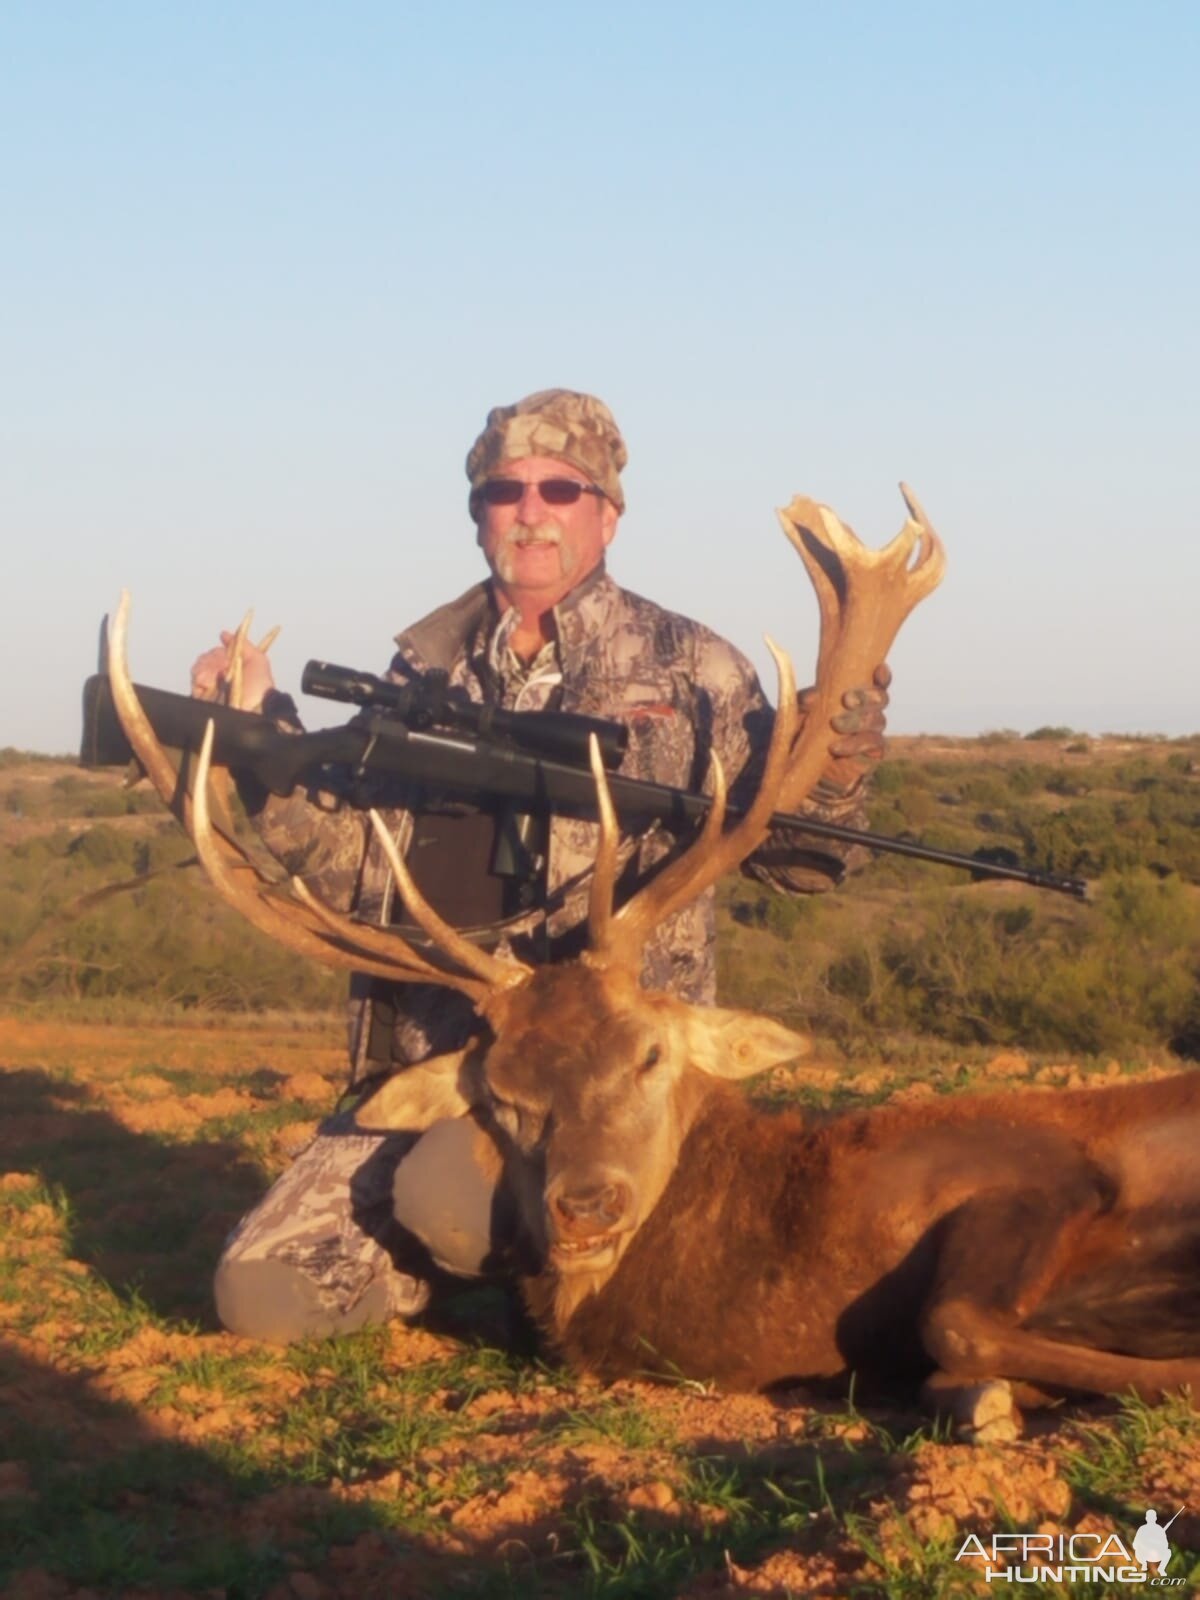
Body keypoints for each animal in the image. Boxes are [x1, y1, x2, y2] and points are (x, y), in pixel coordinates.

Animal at [108, 486, 1196, 1440]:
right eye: (501, 1093)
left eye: (649, 1054)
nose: (586, 1205)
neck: (795, 1271)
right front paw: (1000, 1397)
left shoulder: (1033, 1162)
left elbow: (956, 1321)